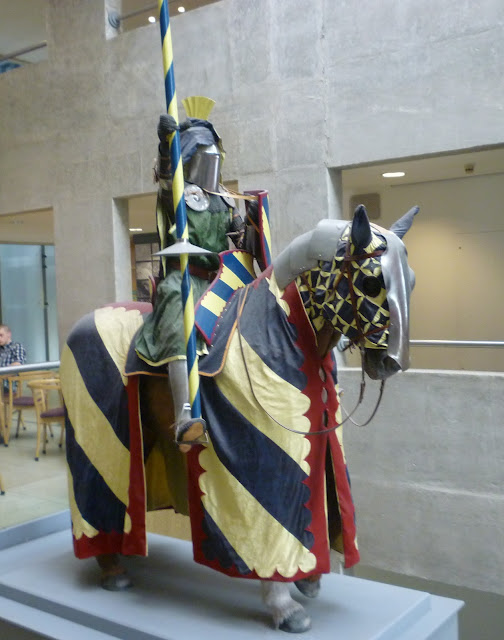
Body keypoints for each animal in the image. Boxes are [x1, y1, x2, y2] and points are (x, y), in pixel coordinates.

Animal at [61, 204, 418, 632]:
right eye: (370, 281)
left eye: (411, 283)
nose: (392, 363)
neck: (284, 329)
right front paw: (283, 603)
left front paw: (312, 579)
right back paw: (111, 566)